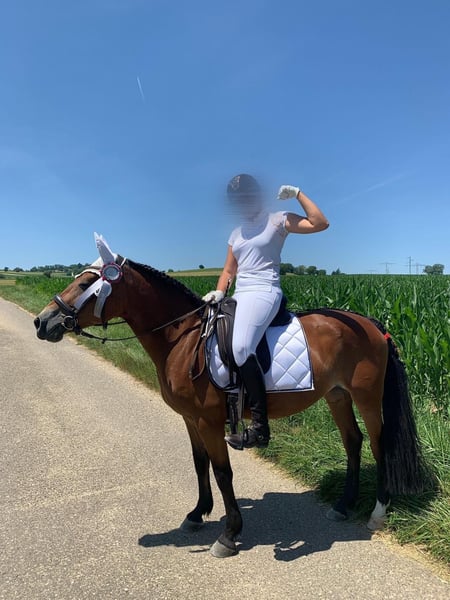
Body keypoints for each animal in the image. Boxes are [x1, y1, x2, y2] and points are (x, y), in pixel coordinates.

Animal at [34, 247, 431, 558]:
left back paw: (377, 511)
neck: (183, 338)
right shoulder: (190, 419)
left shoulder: (209, 422)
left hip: (366, 397)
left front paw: (229, 533)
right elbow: (200, 464)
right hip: (336, 395)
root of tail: (372, 323)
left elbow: (222, 472)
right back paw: (343, 505)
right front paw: (198, 513)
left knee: (379, 445)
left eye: (86, 283)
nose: (42, 321)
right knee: (353, 442)